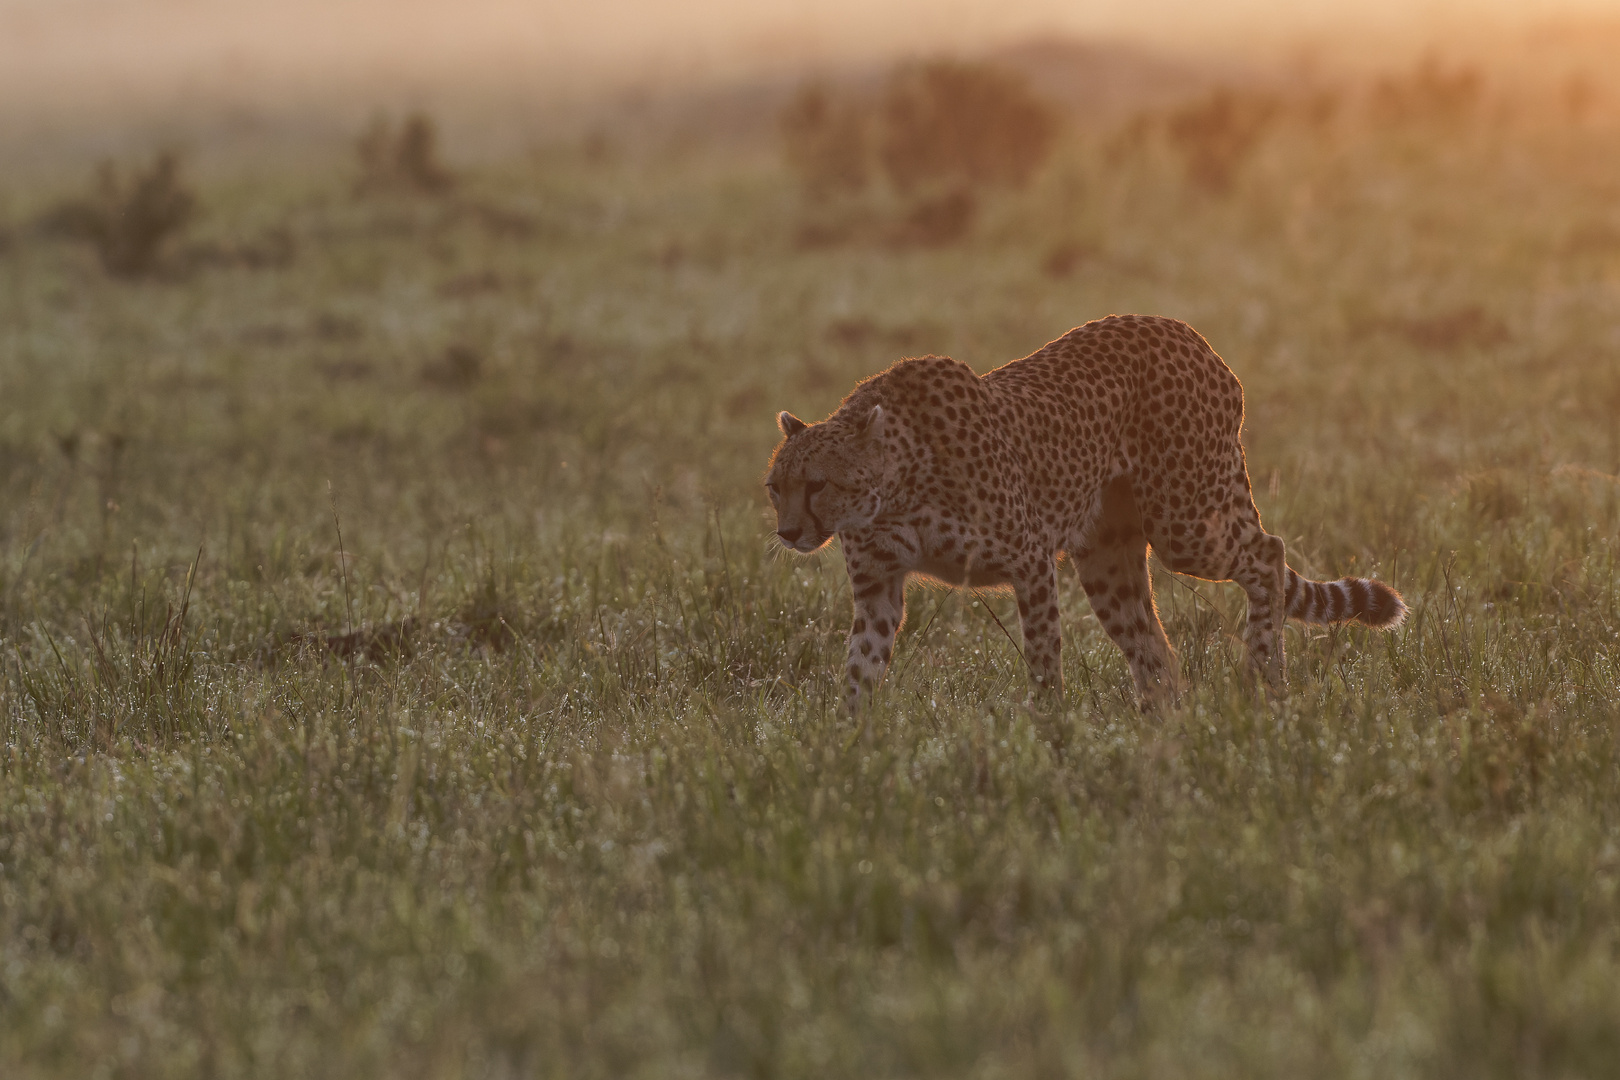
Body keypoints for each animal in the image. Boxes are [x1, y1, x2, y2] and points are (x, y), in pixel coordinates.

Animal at [761, 317, 1406, 712]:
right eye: (774, 487)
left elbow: (1044, 660)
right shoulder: (879, 589)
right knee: (1155, 647)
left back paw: (1264, 677)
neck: (894, 489)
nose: (789, 533)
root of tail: (1187, 333)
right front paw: (849, 750)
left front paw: (1051, 736)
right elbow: (859, 671)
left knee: (1268, 553)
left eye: (817, 485)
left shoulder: (1029, 560)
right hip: (1106, 559)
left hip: (1186, 522)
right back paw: (1163, 723)